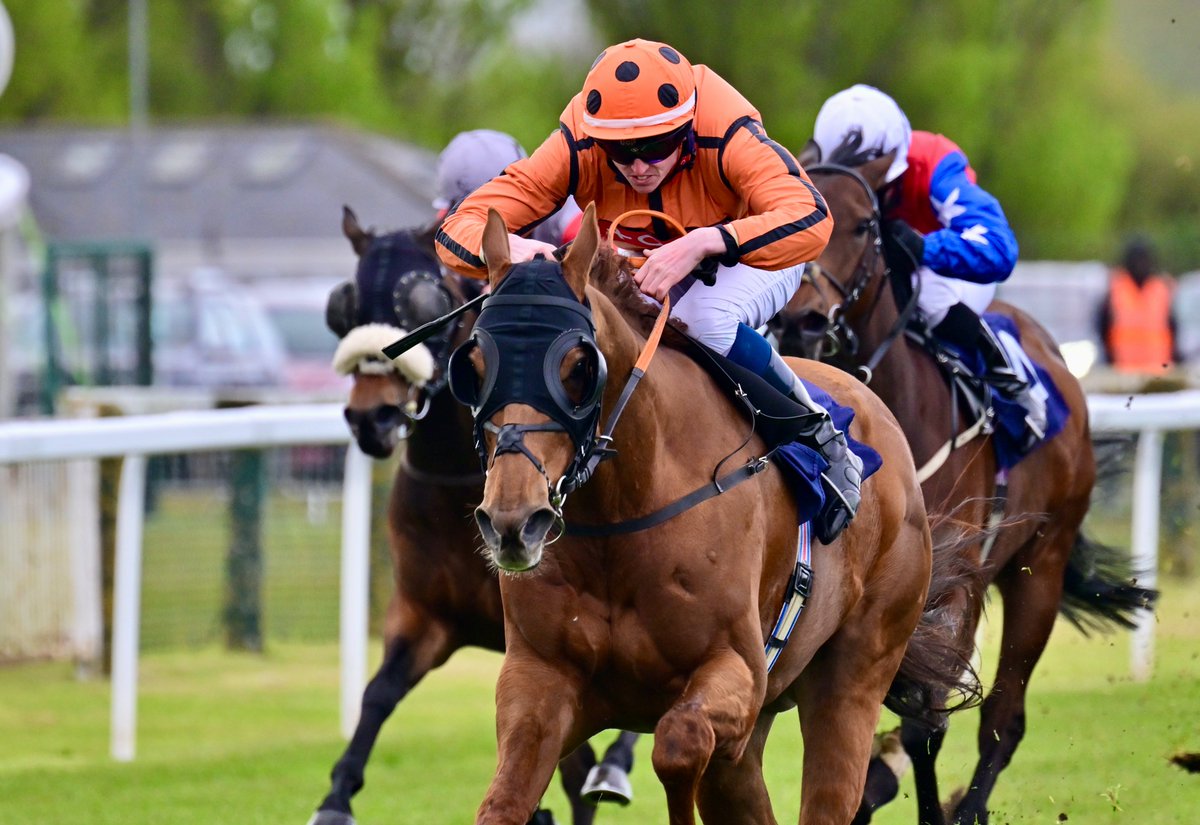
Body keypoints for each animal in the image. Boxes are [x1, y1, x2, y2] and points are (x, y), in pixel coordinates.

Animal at [314, 207, 643, 825]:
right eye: (347, 306)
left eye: (422, 302)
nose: (372, 419)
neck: (455, 490)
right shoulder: (425, 614)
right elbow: (379, 692)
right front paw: (336, 798)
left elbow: (571, 764)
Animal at [453, 205, 960, 825]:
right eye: (473, 365)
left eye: (578, 366)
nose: (512, 521)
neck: (623, 513)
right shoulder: (540, 680)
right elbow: (503, 802)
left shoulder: (736, 672)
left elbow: (678, 742)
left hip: (856, 673)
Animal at [772, 155, 1156, 825]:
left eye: (864, 224)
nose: (802, 321)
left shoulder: (951, 576)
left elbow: (926, 715)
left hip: (1039, 567)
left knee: (1003, 720)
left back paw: (967, 803)